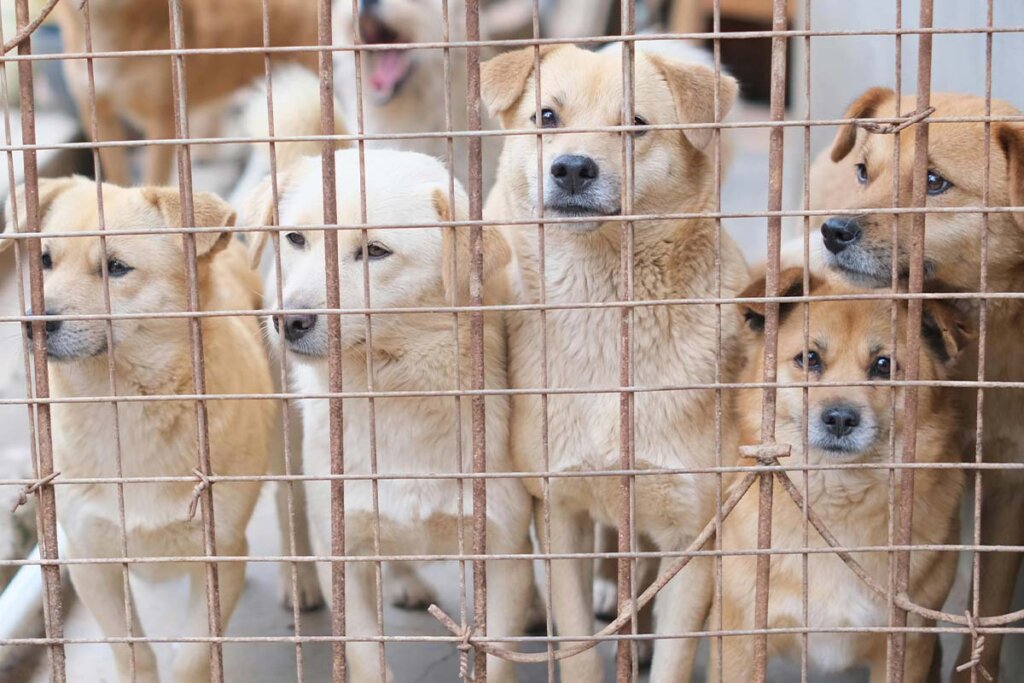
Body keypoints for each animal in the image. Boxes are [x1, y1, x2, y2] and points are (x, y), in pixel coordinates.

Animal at [2, 178, 274, 683]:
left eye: (116, 268)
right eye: (44, 260)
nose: (33, 324)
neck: (125, 405)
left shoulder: (221, 555)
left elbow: (192, 657)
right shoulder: (90, 559)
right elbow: (133, 651)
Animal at [481, 45, 753, 679]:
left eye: (635, 125)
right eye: (547, 117)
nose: (572, 169)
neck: (605, 307)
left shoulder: (693, 530)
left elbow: (675, 655)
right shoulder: (559, 514)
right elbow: (578, 644)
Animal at [712, 268, 966, 683]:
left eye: (883, 365)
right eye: (809, 358)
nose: (841, 419)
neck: (836, 504)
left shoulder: (907, 644)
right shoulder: (740, 642)